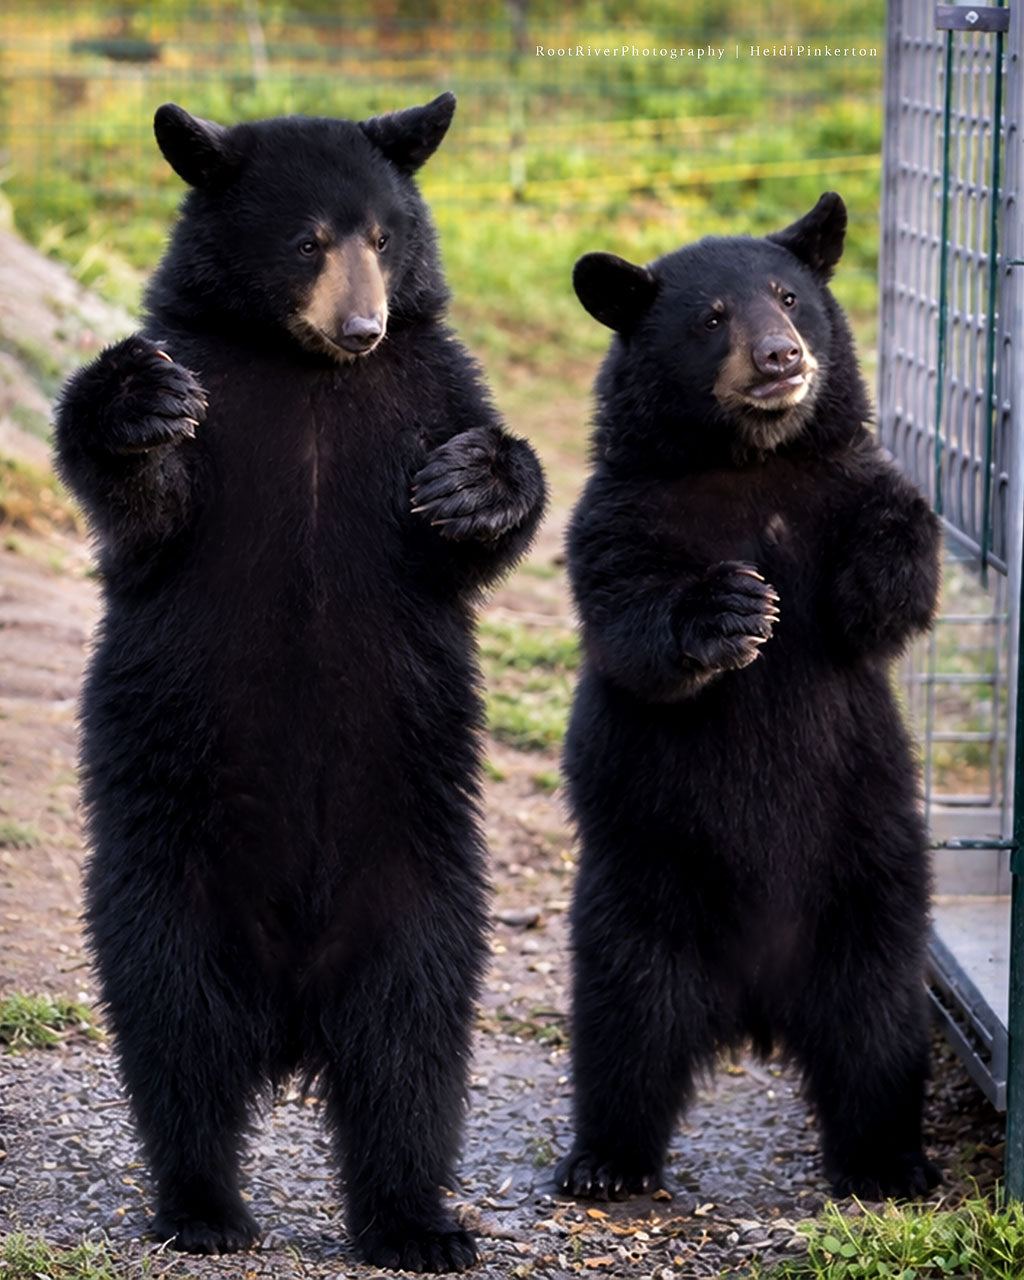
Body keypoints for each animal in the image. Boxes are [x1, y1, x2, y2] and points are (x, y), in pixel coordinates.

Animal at [53, 93, 545, 1273]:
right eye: (307, 241)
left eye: (386, 235)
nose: (362, 327)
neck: (310, 371)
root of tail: (292, 1008)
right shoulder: (216, 387)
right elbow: (147, 504)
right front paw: (134, 398)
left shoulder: (429, 383)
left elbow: (474, 516)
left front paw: (474, 481)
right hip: (169, 877)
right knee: (176, 1037)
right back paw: (203, 1207)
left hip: (421, 888)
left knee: (413, 1051)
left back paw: (416, 1221)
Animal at [553, 192, 942, 1204]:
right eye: (712, 318)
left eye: (790, 296)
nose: (782, 358)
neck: (751, 464)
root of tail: (756, 1007)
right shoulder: (616, 515)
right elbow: (630, 623)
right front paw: (730, 608)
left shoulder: (838, 486)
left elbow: (893, 592)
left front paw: (885, 545)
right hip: (640, 893)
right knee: (625, 1032)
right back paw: (604, 1161)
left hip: (874, 894)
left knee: (878, 1033)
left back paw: (890, 1162)